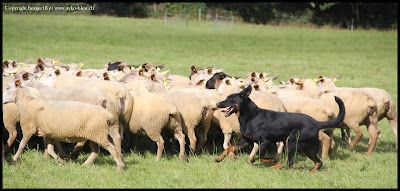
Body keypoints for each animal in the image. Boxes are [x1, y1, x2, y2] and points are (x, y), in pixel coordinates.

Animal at [216, 85, 344, 172]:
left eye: (230, 99)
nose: (217, 104)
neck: (250, 116)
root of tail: (316, 123)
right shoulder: (246, 141)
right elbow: (230, 148)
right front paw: (219, 158)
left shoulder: (264, 142)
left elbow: (260, 157)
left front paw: (269, 161)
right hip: (307, 147)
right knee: (318, 162)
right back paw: (312, 171)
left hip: (291, 140)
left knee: (289, 162)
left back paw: (276, 166)